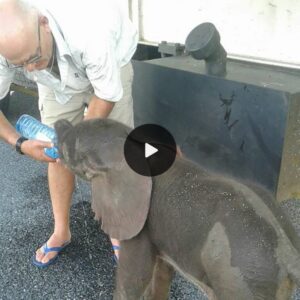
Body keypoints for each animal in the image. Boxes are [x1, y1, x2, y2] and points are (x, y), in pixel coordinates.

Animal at [54, 118, 300, 298]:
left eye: (68, 150)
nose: (58, 122)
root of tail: (289, 255)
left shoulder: (139, 224)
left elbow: (134, 279)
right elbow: (161, 272)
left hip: (239, 281)